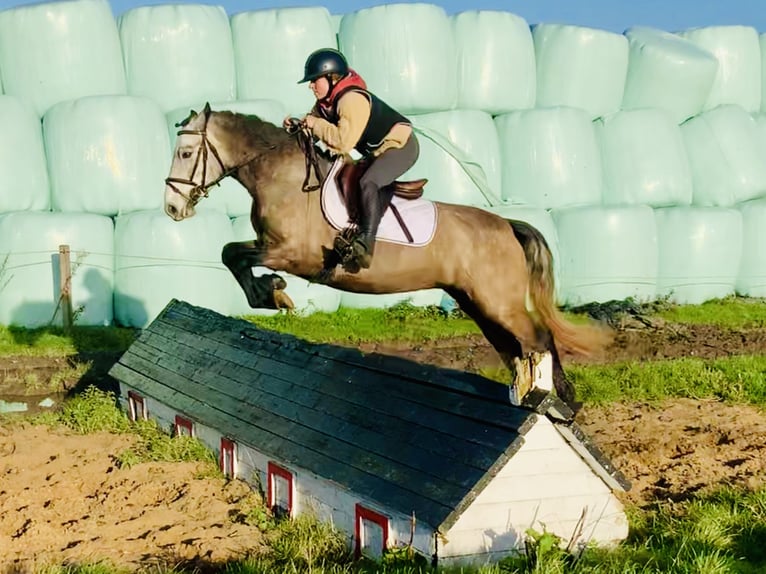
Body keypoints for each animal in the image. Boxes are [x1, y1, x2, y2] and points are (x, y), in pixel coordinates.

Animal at [164, 104, 612, 410]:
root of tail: (506, 225)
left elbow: (234, 255)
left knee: (540, 338)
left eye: (185, 154)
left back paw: (559, 399)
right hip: (478, 303)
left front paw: (272, 293)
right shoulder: (273, 248)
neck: (283, 176)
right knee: (516, 346)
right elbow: (233, 256)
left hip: (498, 302)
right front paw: (270, 293)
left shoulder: (291, 253)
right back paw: (531, 394)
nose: (172, 209)